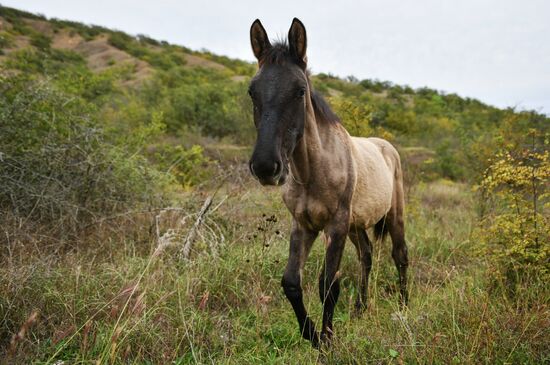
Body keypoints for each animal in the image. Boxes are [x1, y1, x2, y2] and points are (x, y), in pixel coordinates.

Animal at [248, 17, 408, 346]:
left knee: (400, 256)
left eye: (300, 91)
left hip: (393, 215)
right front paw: (312, 335)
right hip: (356, 226)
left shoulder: (335, 225)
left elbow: (328, 286)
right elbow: (291, 282)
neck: (312, 172)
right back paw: (361, 308)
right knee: (366, 256)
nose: (266, 167)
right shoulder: (304, 225)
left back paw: (404, 306)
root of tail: (387, 147)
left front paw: (327, 341)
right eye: (252, 92)